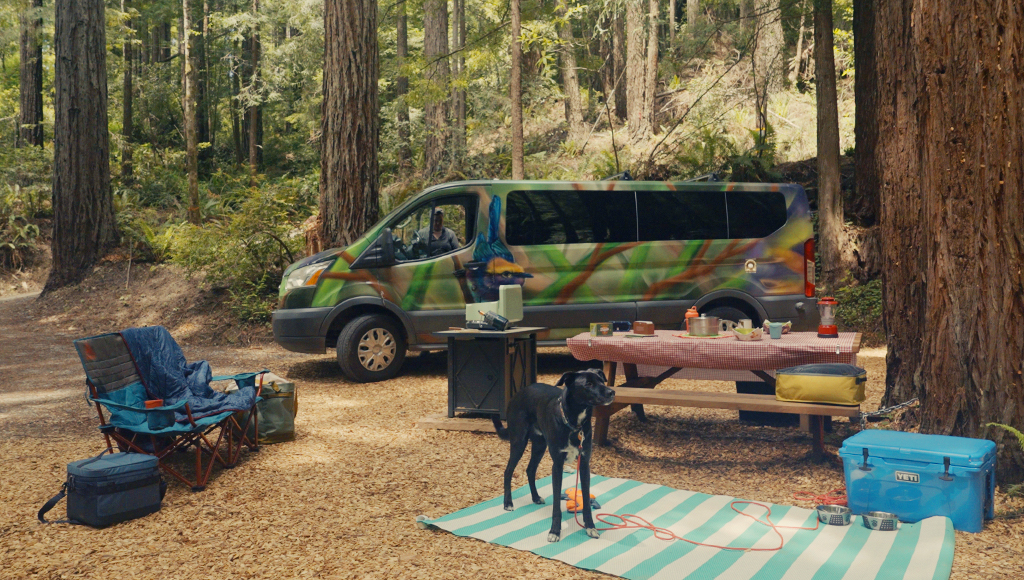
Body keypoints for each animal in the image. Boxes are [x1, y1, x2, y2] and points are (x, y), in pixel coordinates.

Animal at [489, 370, 610, 545]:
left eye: (602, 381)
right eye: (588, 384)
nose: (611, 392)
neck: (573, 423)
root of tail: (519, 392)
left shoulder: (584, 464)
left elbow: (587, 501)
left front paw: (590, 527)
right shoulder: (557, 465)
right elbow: (556, 505)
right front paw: (554, 531)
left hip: (539, 445)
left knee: (530, 469)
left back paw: (535, 497)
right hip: (519, 442)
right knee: (508, 471)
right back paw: (508, 503)